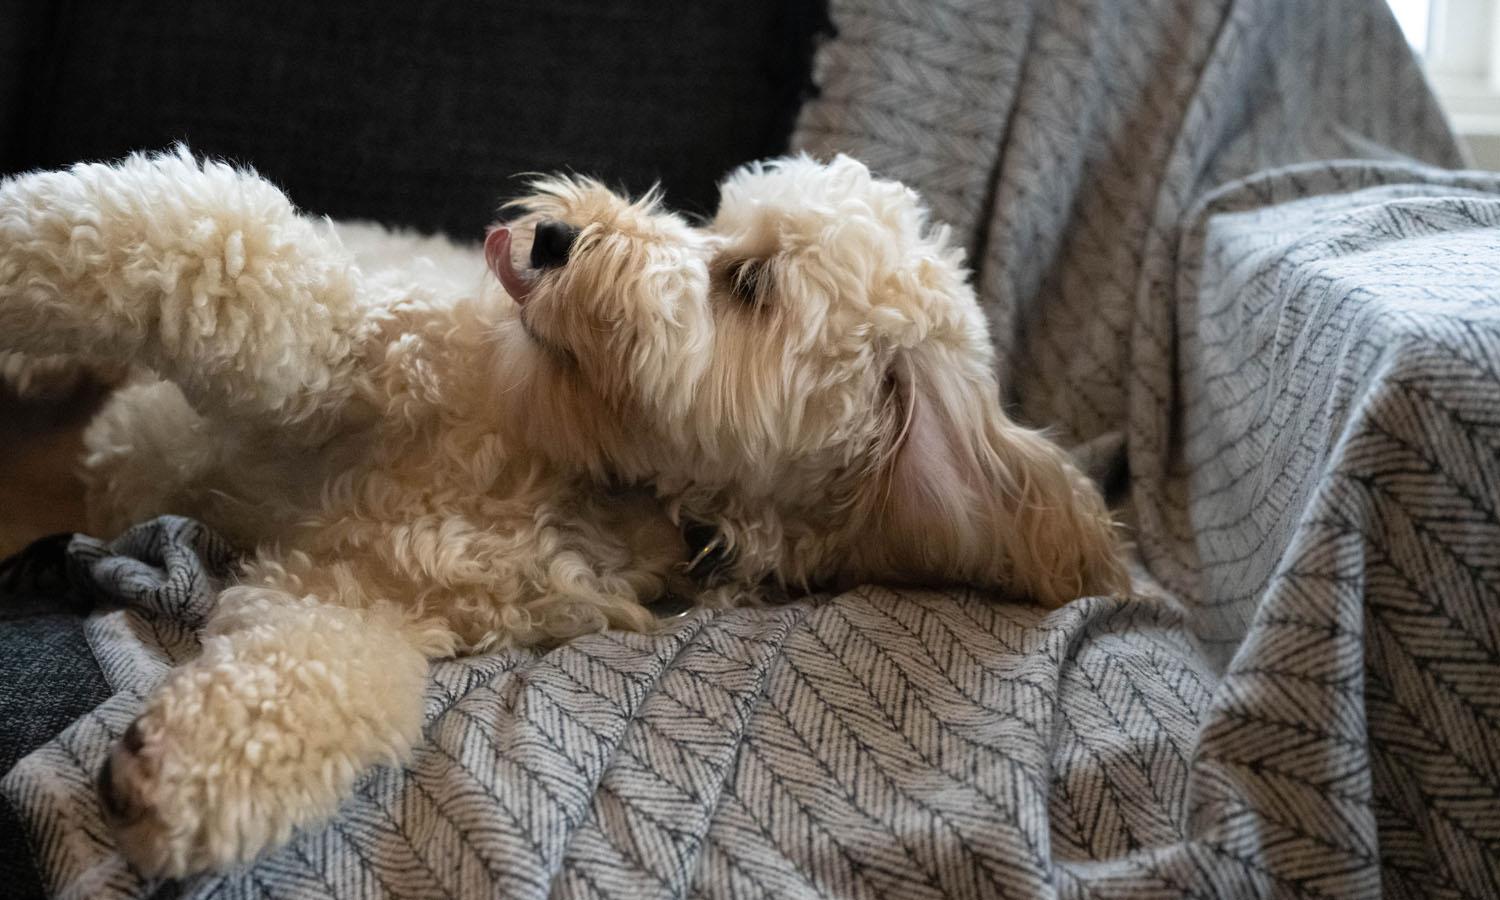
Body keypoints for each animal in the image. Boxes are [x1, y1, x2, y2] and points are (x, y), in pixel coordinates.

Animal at [0, 149, 1128, 876]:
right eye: (716, 221)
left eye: (749, 283)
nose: (552, 233)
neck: (584, 471)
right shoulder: (335, 344)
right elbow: (206, 248)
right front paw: (17, 241)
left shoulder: (366, 595)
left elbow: (320, 677)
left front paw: (185, 775)